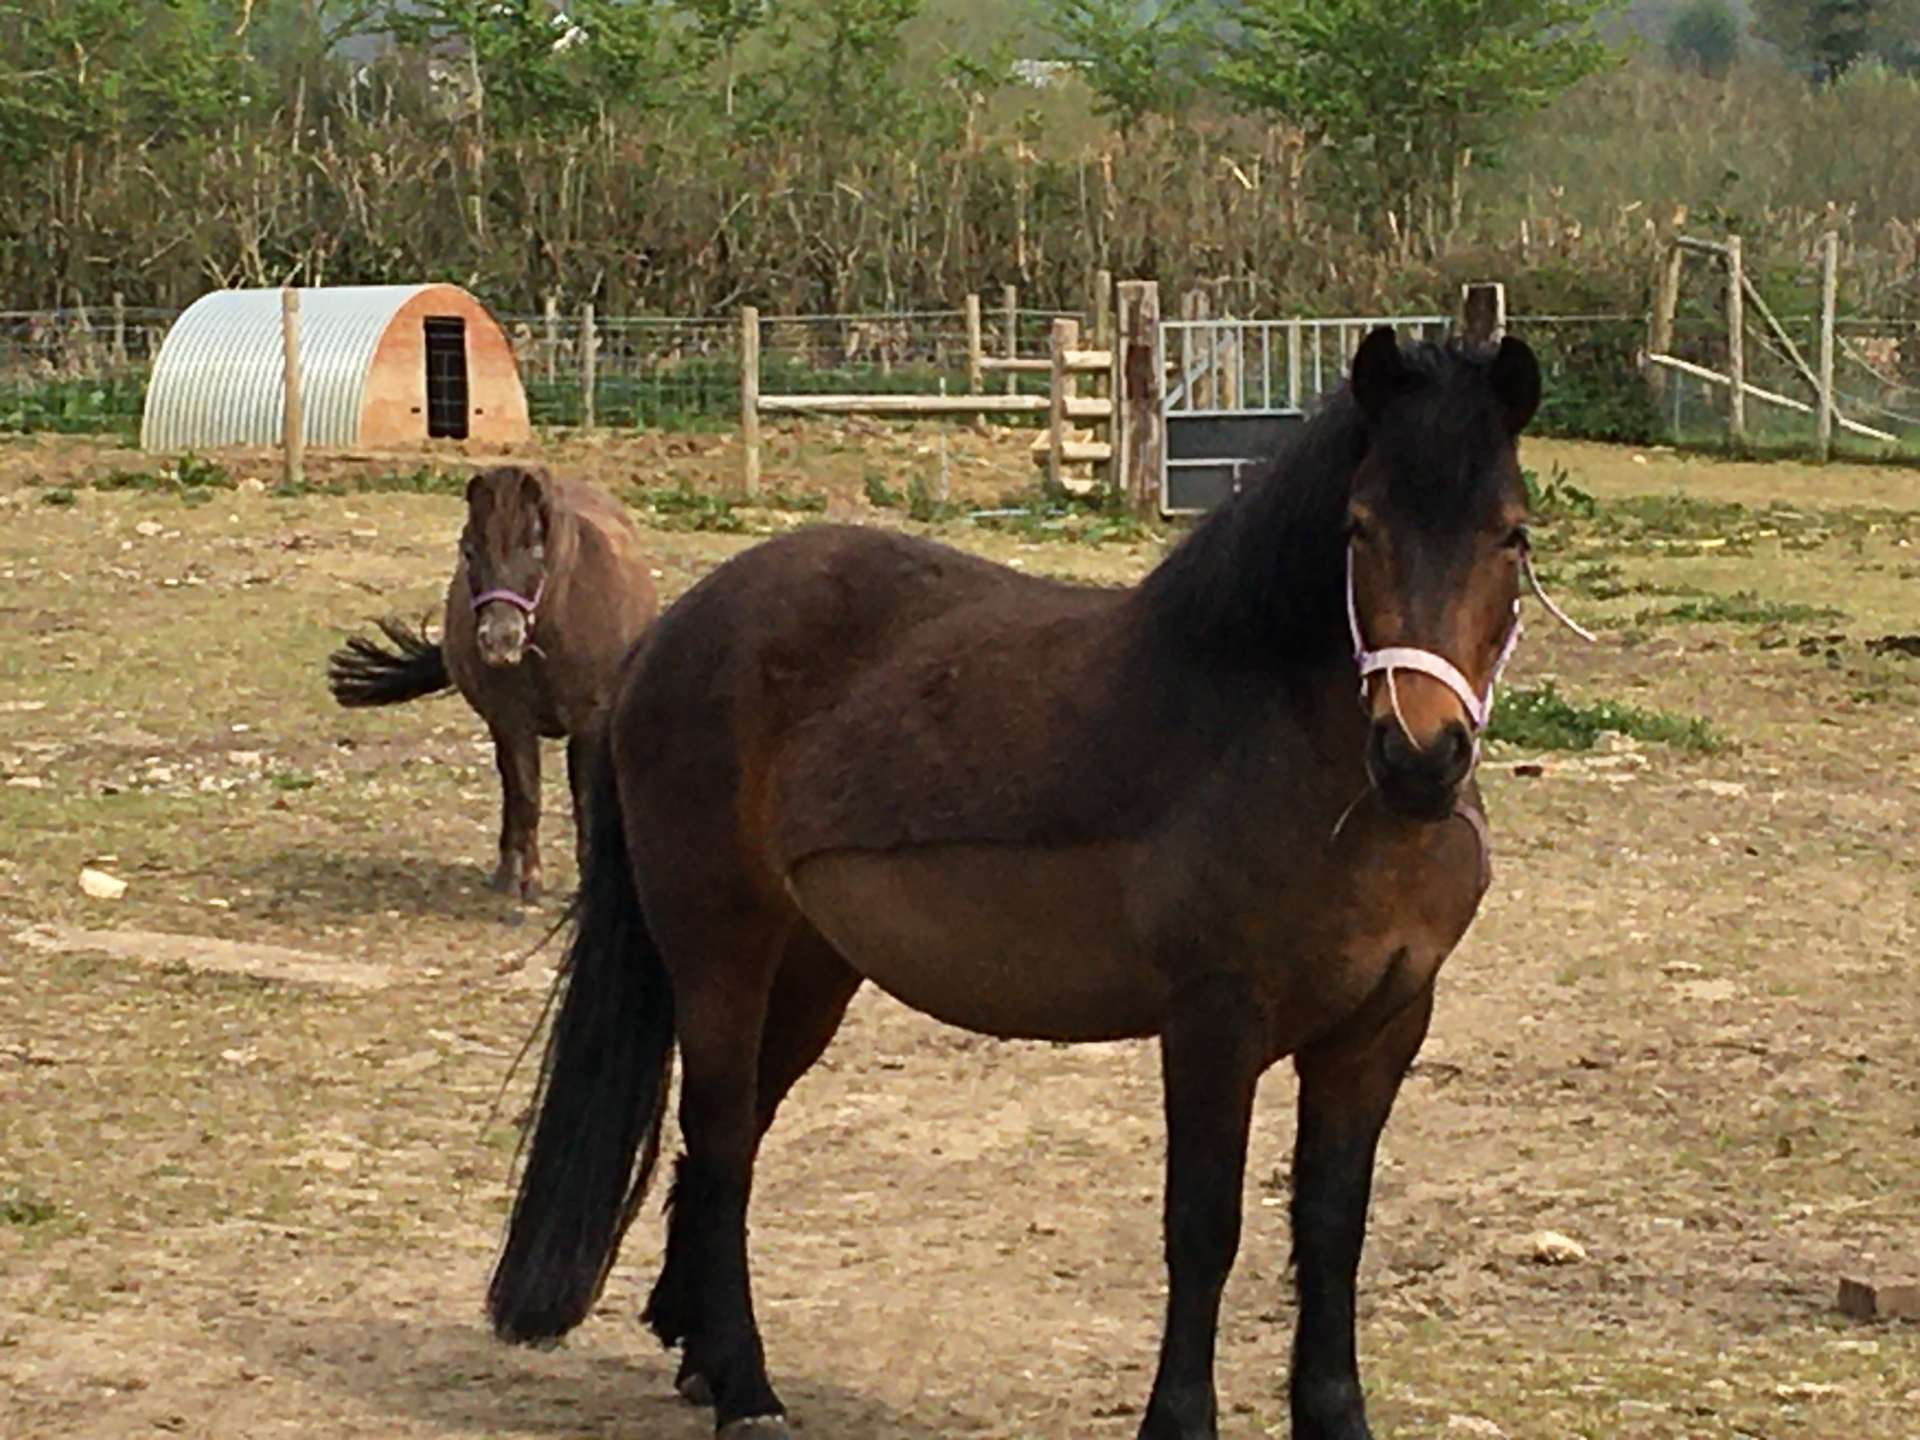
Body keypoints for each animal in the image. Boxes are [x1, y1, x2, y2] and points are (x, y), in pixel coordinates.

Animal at [326, 463, 659, 900]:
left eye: (535, 549)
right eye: (469, 551)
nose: (500, 639)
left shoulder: (588, 723)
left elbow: (583, 799)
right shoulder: (511, 721)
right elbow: (525, 794)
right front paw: (527, 878)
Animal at [485, 328, 1557, 1439]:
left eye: (1511, 537)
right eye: (1359, 527)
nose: (1422, 757)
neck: (1302, 760)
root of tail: (670, 631)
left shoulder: (1379, 1031)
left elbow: (1332, 1229)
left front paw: (1336, 1415)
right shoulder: (1214, 1024)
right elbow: (1203, 1228)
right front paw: (1179, 1419)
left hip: (811, 969)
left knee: (725, 1142)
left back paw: (700, 1355)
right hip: (718, 956)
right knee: (723, 1136)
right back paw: (745, 1387)